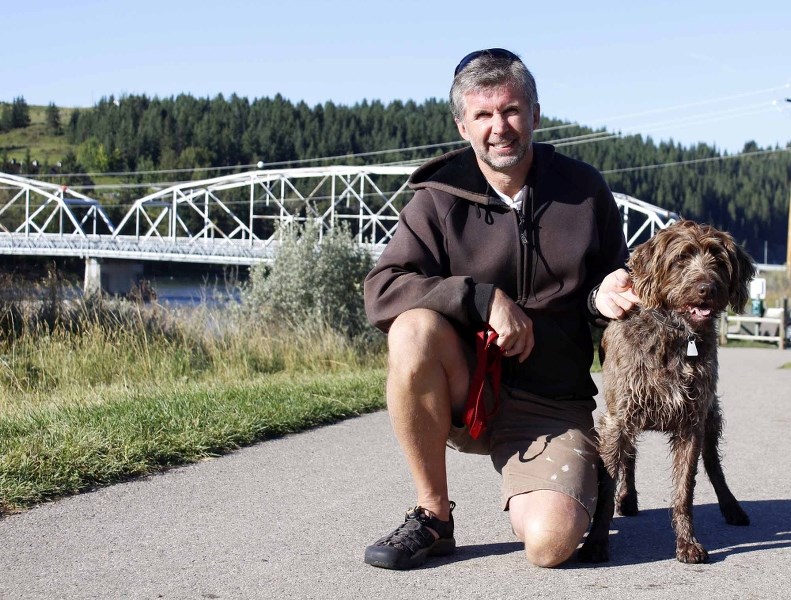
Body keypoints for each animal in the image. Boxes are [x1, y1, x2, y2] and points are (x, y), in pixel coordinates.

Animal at [580, 219, 756, 564]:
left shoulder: (692, 423)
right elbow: (606, 486)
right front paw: (595, 542)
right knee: (629, 457)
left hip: (710, 417)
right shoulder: (617, 419)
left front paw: (687, 543)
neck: (677, 334)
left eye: (719, 259)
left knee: (713, 465)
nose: (706, 289)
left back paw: (731, 507)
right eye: (681, 258)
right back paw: (628, 498)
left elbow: (684, 492)